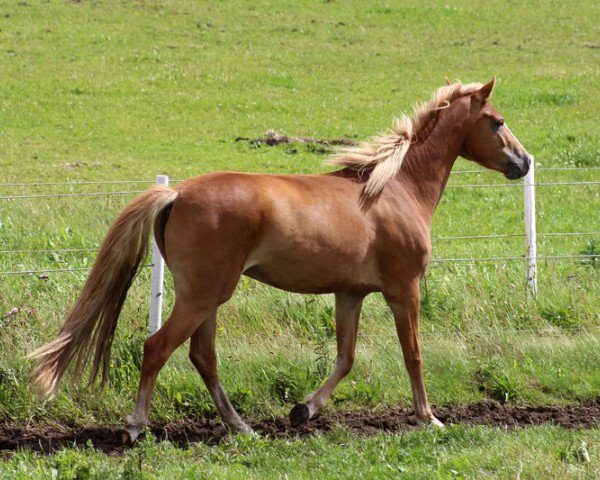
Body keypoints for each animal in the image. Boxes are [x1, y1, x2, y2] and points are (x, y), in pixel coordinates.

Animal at [30, 79, 532, 442]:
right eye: (497, 121)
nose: (524, 162)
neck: (394, 188)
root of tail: (178, 192)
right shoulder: (403, 289)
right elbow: (413, 355)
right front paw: (429, 419)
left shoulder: (349, 293)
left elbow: (345, 358)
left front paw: (303, 410)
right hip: (203, 295)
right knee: (158, 349)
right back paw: (136, 427)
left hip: (206, 296)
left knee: (202, 357)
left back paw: (242, 428)